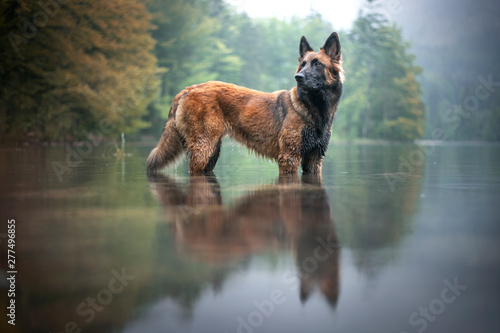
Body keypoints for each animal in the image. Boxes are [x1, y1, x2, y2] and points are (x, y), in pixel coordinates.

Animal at [147, 32, 344, 175]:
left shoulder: (314, 159)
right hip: (203, 148)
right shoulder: (290, 157)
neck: (313, 108)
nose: (298, 77)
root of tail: (189, 88)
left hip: (211, 152)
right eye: (302, 64)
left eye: (317, 64)